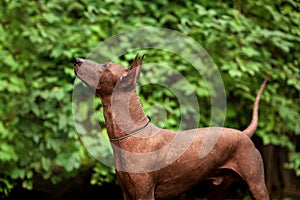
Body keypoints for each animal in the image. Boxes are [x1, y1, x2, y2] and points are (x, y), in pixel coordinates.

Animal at [74, 54, 270, 199]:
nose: (76, 60)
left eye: (105, 67)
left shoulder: (144, 193)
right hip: (216, 190)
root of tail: (244, 134)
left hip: (256, 185)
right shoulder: (126, 193)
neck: (131, 136)